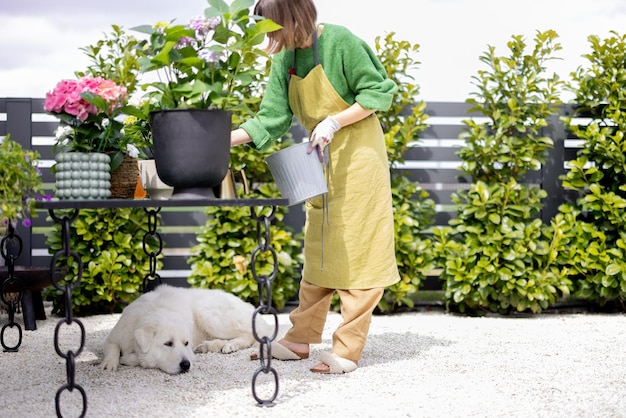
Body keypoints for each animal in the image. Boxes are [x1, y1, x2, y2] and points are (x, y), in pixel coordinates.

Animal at [100, 284, 270, 376]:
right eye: (168, 343)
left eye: (186, 343)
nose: (186, 365)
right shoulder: (114, 336)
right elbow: (112, 347)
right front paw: (109, 363)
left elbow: (140, 360)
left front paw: (131, 359)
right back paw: (208, 346)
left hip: (209, 314)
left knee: (249, 335)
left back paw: (231, 345)